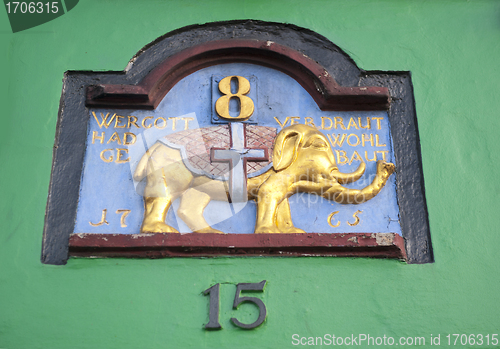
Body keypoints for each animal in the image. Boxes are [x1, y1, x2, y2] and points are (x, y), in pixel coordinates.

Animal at [133, 123, 394, 234]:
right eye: (319, 145)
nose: (386, 164)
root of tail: (151, 148)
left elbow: (283, 199)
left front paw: (293, 232)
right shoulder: (279, 172)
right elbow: (270, 193)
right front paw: (268, 232)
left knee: (190, 205)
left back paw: (211, 234)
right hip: (171, 167)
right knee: (163, 194)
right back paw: (159, 230)